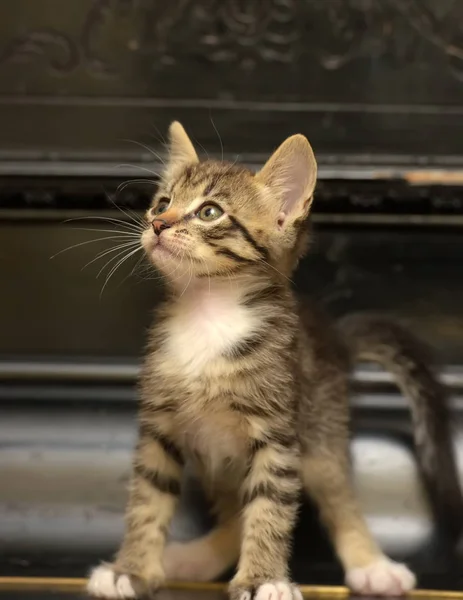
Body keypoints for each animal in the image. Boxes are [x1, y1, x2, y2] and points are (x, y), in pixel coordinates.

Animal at [88, 123, 463, 600]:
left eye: (209, 212)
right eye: (162, 202)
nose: (157, 224)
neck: (208, 316)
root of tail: (334, 338)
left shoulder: (277, 436)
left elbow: (269, 508)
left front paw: (263, 579)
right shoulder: (160, 429)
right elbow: (147, 500)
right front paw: (131, 570)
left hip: (321, 432)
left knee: (338, 496)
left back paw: (372, 565)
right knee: (235, 517)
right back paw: (195, 559)